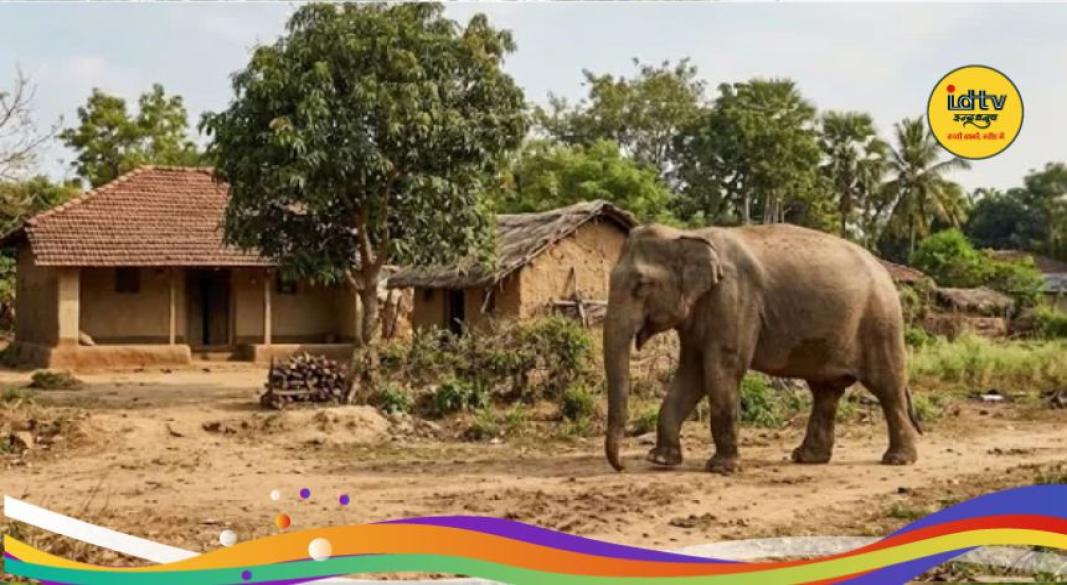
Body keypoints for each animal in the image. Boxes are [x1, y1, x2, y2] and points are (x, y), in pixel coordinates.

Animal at [603, 223, 921, 473]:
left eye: (641, 284)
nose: (621, 466)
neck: (688, 235)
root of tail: (885, 270)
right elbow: (690, 375)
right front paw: (660, 460)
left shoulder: (734, 299)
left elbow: (721, 370)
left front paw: (721, 468)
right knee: (826, 391)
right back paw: (807, 458)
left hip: (881, 322)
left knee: (887, 387)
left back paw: (897, 460)